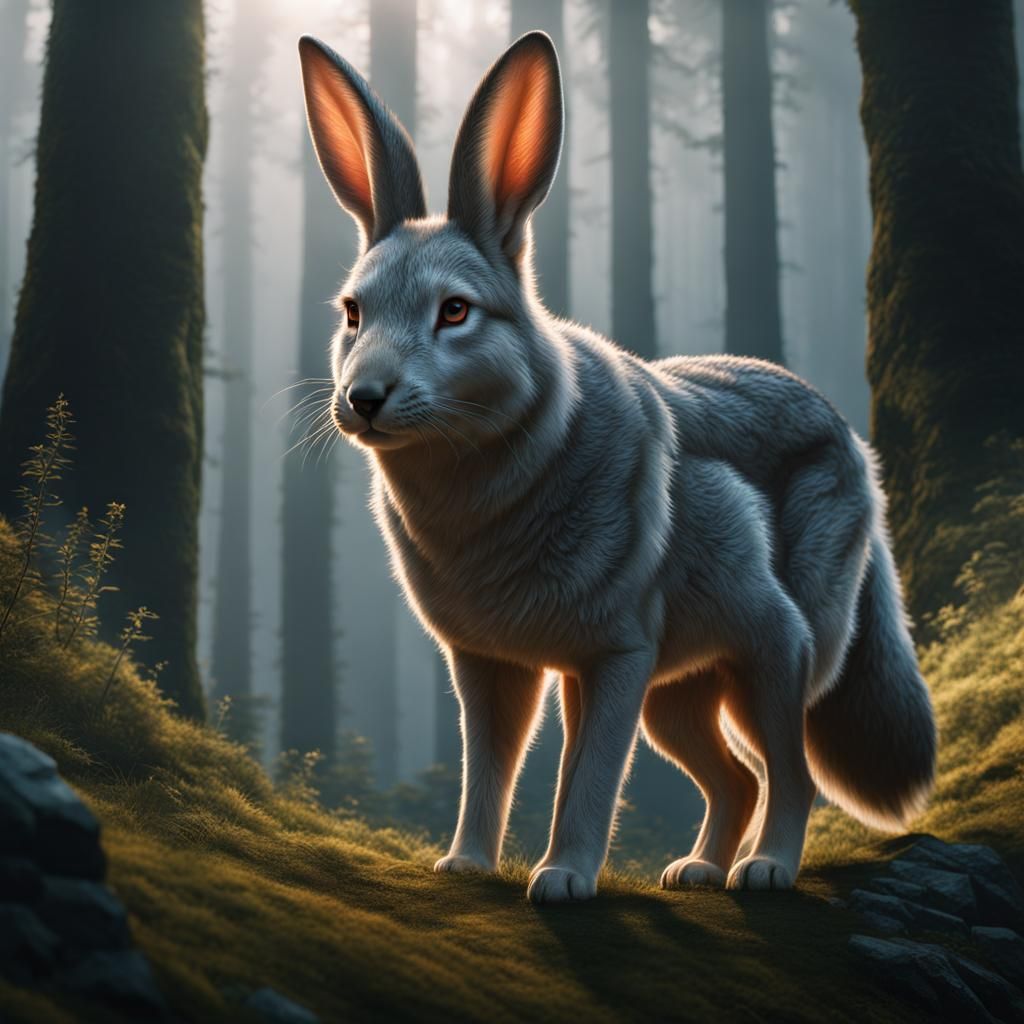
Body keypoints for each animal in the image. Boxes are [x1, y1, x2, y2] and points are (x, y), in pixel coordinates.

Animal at [297, 30, 936, 903]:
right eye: (354, 314)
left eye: (454, 312)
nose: (362, 399)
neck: (488, 494)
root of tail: (849, 434)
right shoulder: (490, 668)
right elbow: (485, 777)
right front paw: (466, 864)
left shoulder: (610, 661)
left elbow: (588, 783)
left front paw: (564, 877)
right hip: (677, 701)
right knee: (737, 781)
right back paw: (698, 870)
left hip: (770, 662)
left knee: (791, 778)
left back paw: (764, 869)